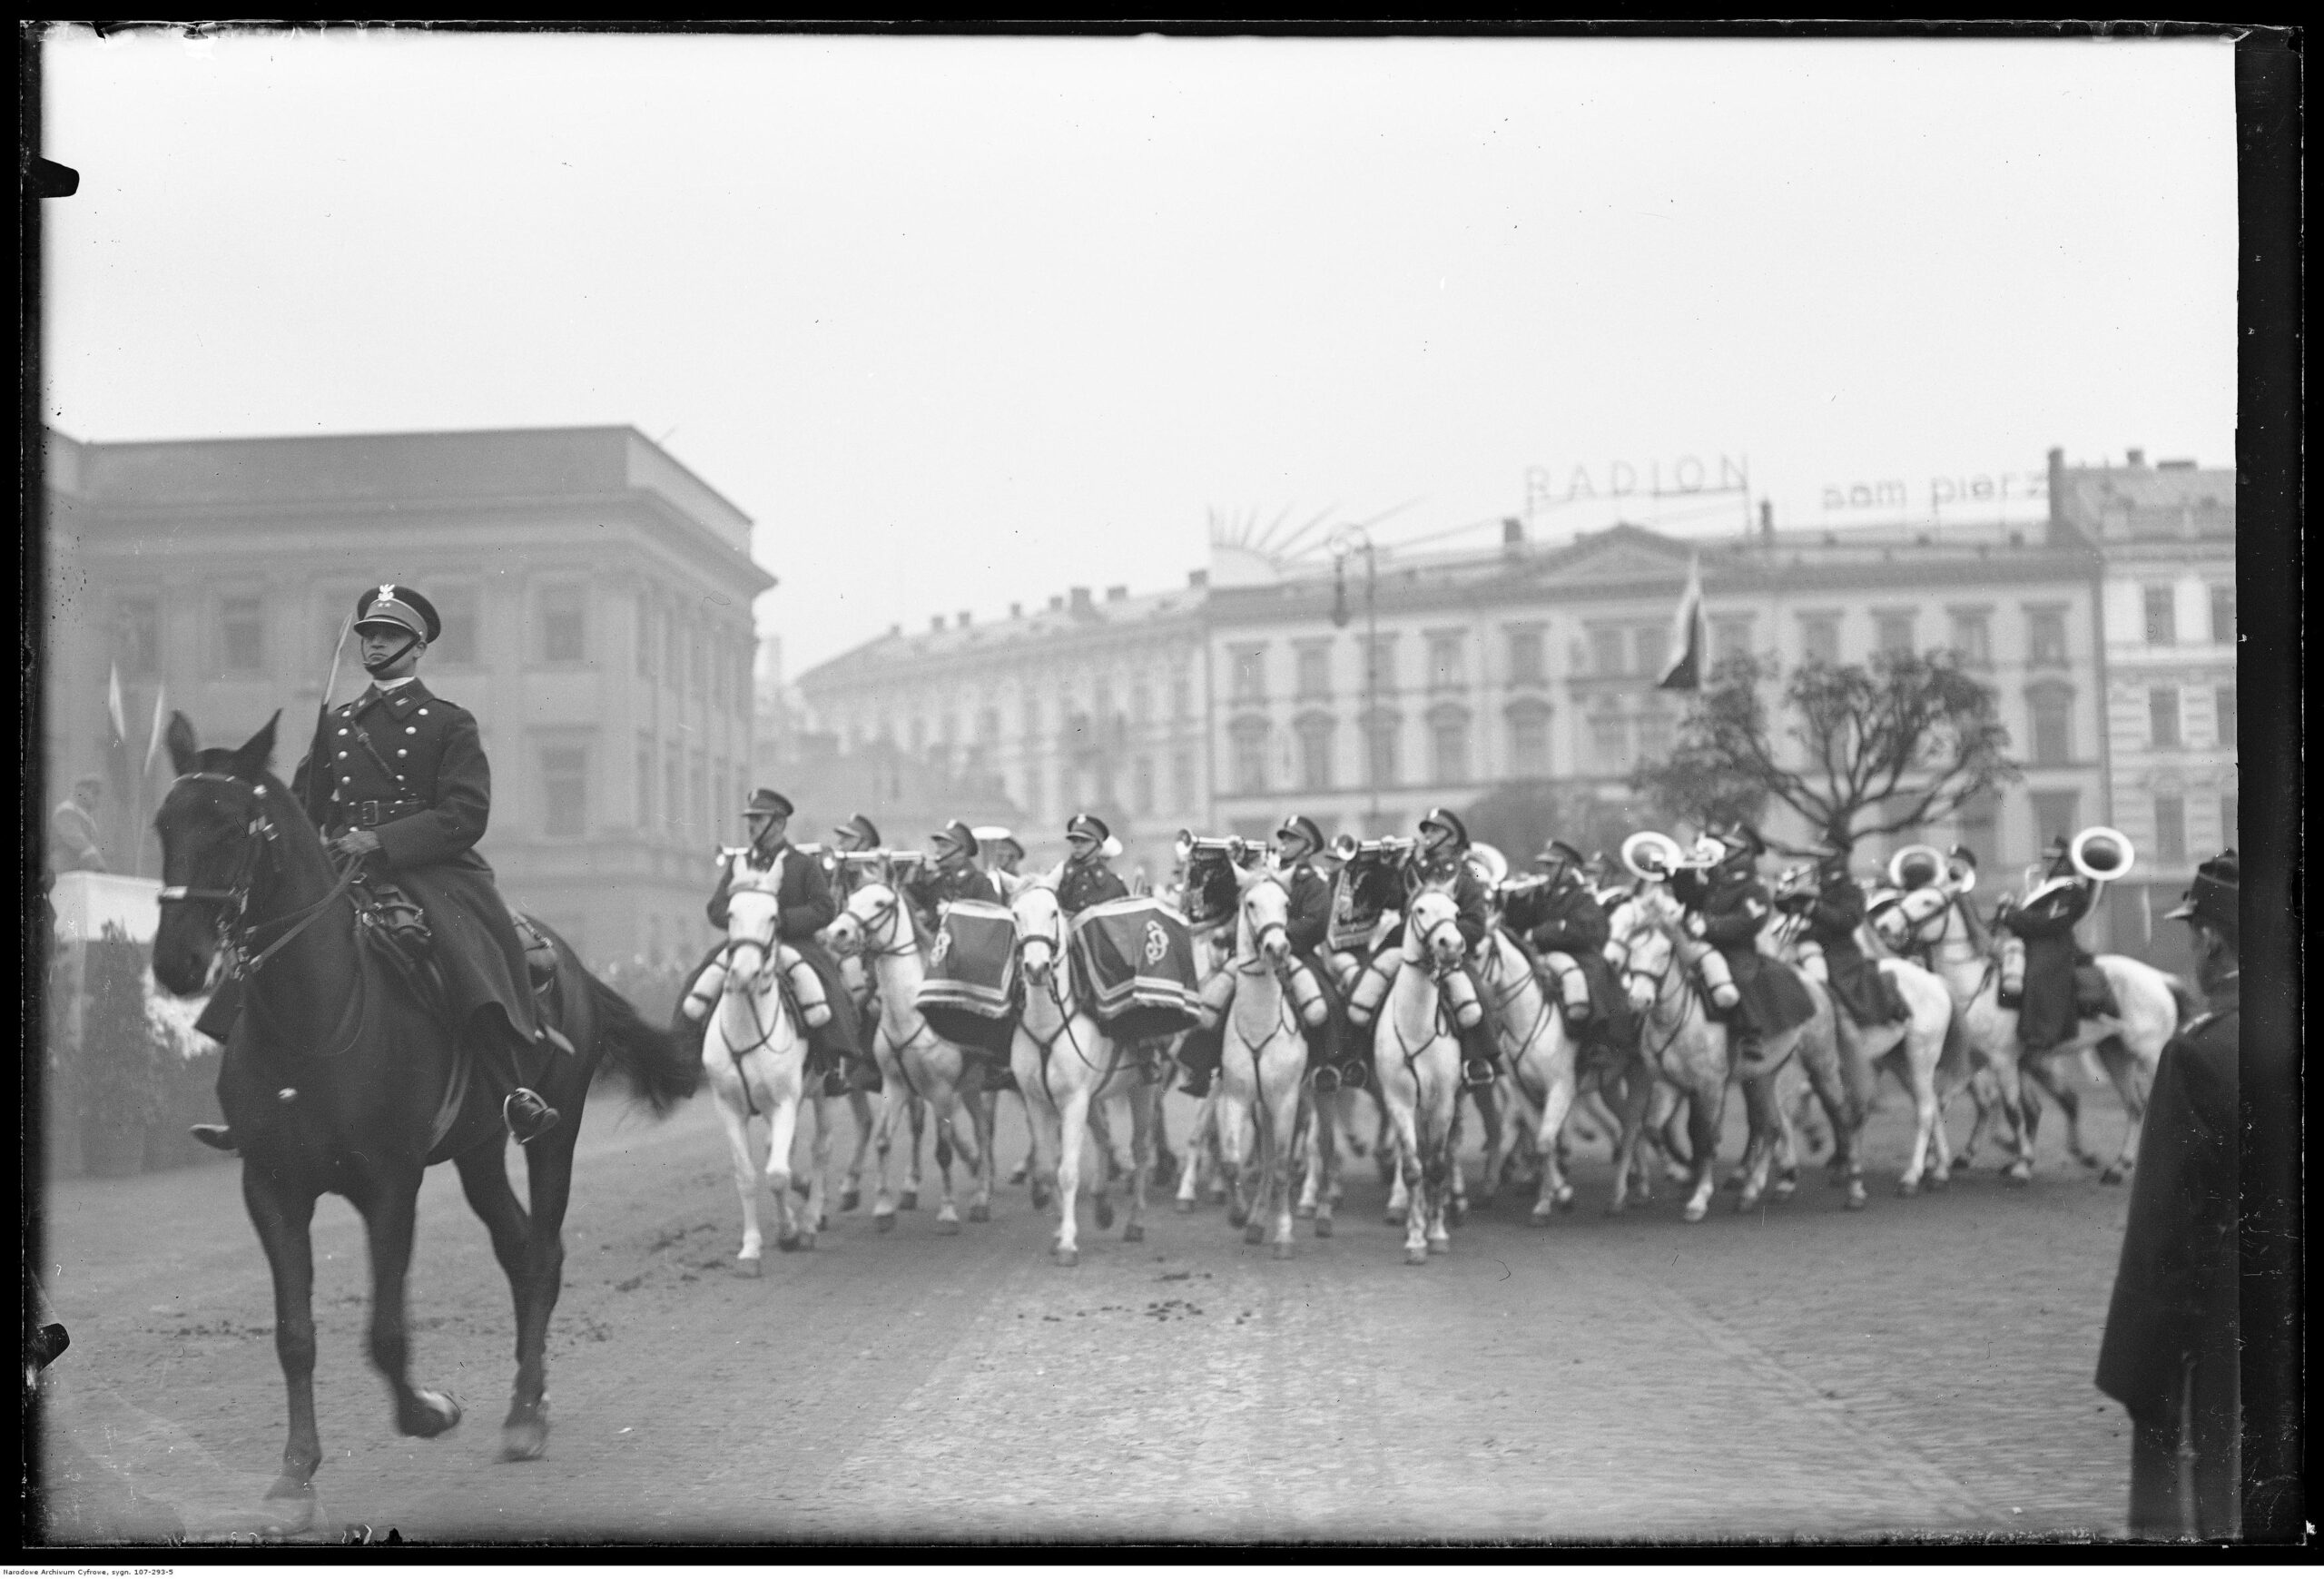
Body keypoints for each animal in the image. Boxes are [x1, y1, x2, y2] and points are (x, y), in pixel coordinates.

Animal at [147, 715, 697, 1515]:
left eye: (227, 824)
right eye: (165, 822)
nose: (176, 963)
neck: (311, 1017)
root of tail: (564, 953)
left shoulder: (390, 1184)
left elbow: (384, 1331)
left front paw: (430, 1410)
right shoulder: (271, 1186)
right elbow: (294, 1333)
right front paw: (296, 1468)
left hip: (553, 1134)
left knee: (543, 1251)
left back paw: (526, 1412)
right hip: (478, 1150)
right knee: (517, 1247)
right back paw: (529, 1397)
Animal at [702, 864, 841, 1274]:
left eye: (774, 917)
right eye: (731, 913)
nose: (744, 975)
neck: (748, 1026)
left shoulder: (785, 1102)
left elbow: (777, 1175)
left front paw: (790, 1232)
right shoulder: (729, 1107)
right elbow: (748, 1175)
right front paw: (751, 1248)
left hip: (823, 1093)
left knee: (820, 1149)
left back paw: (809, 1220)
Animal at [822, 879, 994, 1237]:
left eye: (880, 903)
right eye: (851, 899)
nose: (836, 933)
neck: (910, 1015)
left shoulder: (942, 1090)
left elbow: (943, 1151)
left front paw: (948, 1213)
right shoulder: (895, 1084)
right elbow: (882, 1140)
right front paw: (883, 1208)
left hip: (975, 1084)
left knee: (986, 1133)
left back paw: (986, 1197)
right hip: (968, 1085)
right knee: (978, 1131)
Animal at [1018, 883, 1162, 1265]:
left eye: (1054, 912)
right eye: (1015, 914)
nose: (1036, 968)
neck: (1047, 1024)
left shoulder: (1074, 1101)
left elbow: (1067, 1172)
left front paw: (1068, 1242)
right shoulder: (1038, 1102)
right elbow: (1046, 1169)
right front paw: (1058, 1230)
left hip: (1142, 1089)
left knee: (1140, 1149)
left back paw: (1136, 1222)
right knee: (1104, 1137)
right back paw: (1102, 1206)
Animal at [1877, 883, 2184, 1181]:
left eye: (1928, 902)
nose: (1884, 926)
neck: (1976, 987)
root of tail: (2160, 979)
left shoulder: (2002, 1062)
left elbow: (2013, 1111)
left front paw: (2022, 1163)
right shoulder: (1974, 1062)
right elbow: (1944, 1104)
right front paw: (1938, 1161)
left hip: (2150, 1054)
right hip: (2115, 1055)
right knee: (2134, 1106)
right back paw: (2118, 1167)